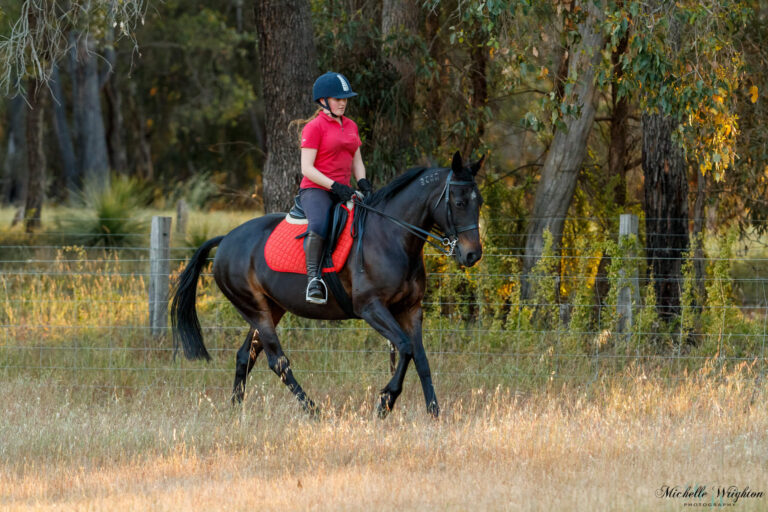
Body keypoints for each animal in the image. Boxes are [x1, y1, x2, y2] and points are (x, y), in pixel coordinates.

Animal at [171, 150, 484, 418]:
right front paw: (386, 401)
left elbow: (420, 358)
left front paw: (434, 412)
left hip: (270, 309)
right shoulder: (371, 308)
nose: (472, 255)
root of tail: (225, 239)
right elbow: (406, 348)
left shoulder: (410, 309)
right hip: (255, 309)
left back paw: (236, 409)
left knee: (245, 356)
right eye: (459, 203)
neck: (392, 237)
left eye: (479, 201)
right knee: (277, 362)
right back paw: (313, 410)